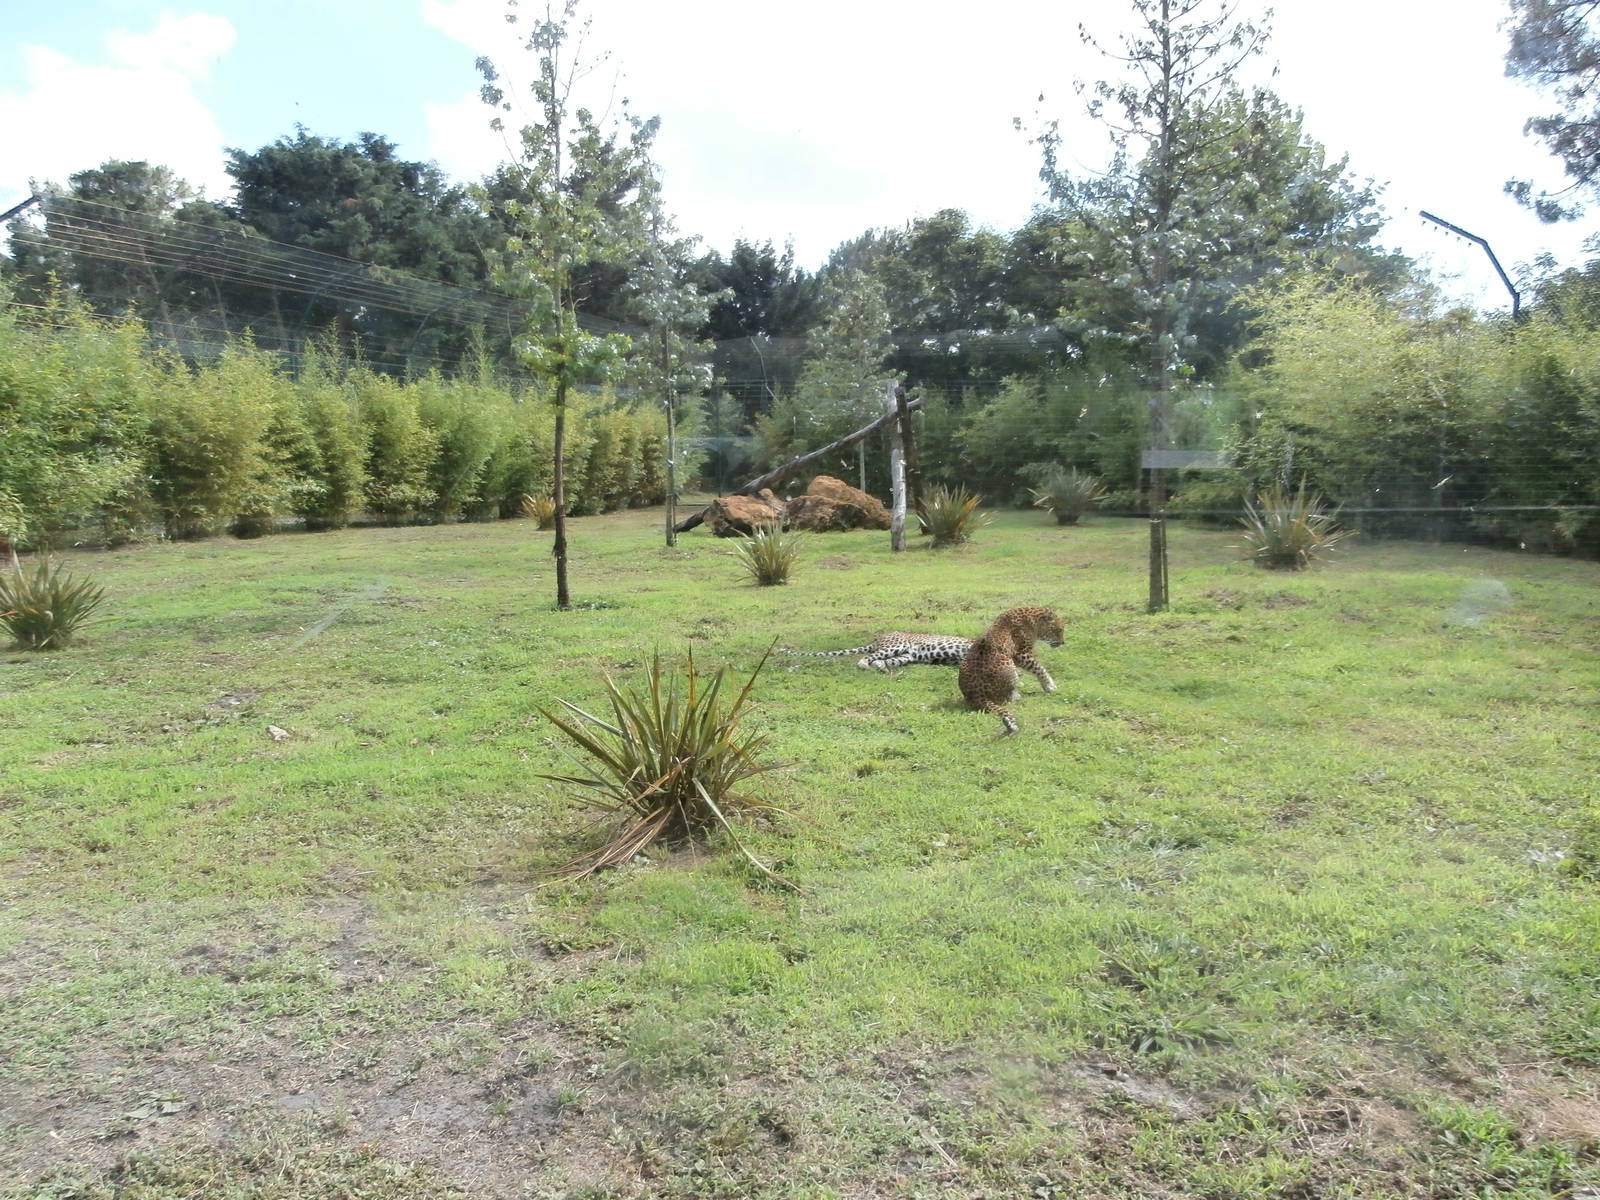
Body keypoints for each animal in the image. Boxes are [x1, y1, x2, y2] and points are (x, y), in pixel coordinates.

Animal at [957, 605, 1065, 734]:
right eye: (1058, 630)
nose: (1063, 642)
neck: (1033, 620)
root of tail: (978, 695)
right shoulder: (1022, 654)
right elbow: (1039, 668)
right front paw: (1050, 686)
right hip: (1009, 664)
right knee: (1005, 699)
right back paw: (1016, 695)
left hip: (963, 663)